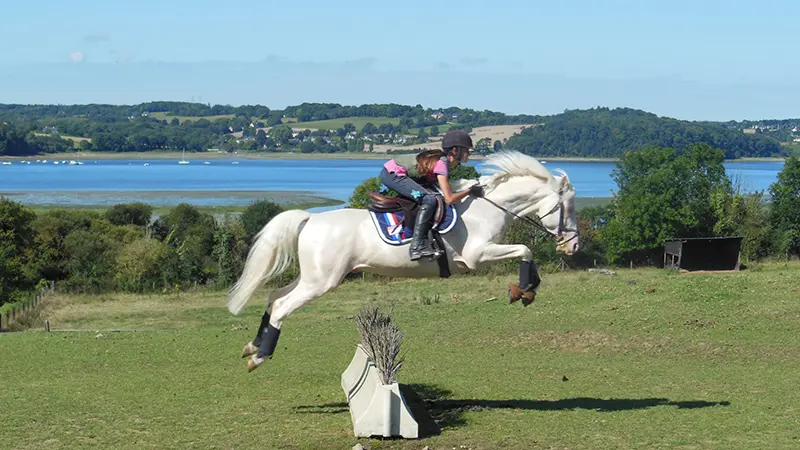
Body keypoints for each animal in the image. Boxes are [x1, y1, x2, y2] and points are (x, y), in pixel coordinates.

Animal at [228, 151, 580, 372]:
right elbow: (525, 249)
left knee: (274, 297)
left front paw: (527, 290)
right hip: (322, 282)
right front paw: (525, 289)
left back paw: (252, 346)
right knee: (282, 306)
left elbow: (525, 251)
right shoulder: (477, 255)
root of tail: (311, 219)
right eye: (568, 208)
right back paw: (259, 357)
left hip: (313, 277)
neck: (487, 207)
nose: (574, 245)